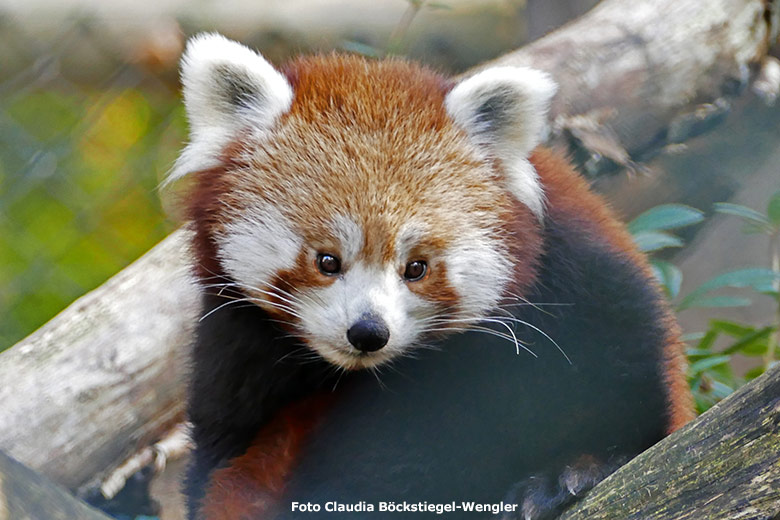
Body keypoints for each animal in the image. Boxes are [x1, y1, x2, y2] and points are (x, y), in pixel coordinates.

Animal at [174, 34, 692, 516]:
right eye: (327, 260)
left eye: (416, 268)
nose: (368, 332)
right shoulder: (235, 344)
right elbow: (219, 448)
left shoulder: (573, 275)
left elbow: (620, 364)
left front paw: (575, 469)